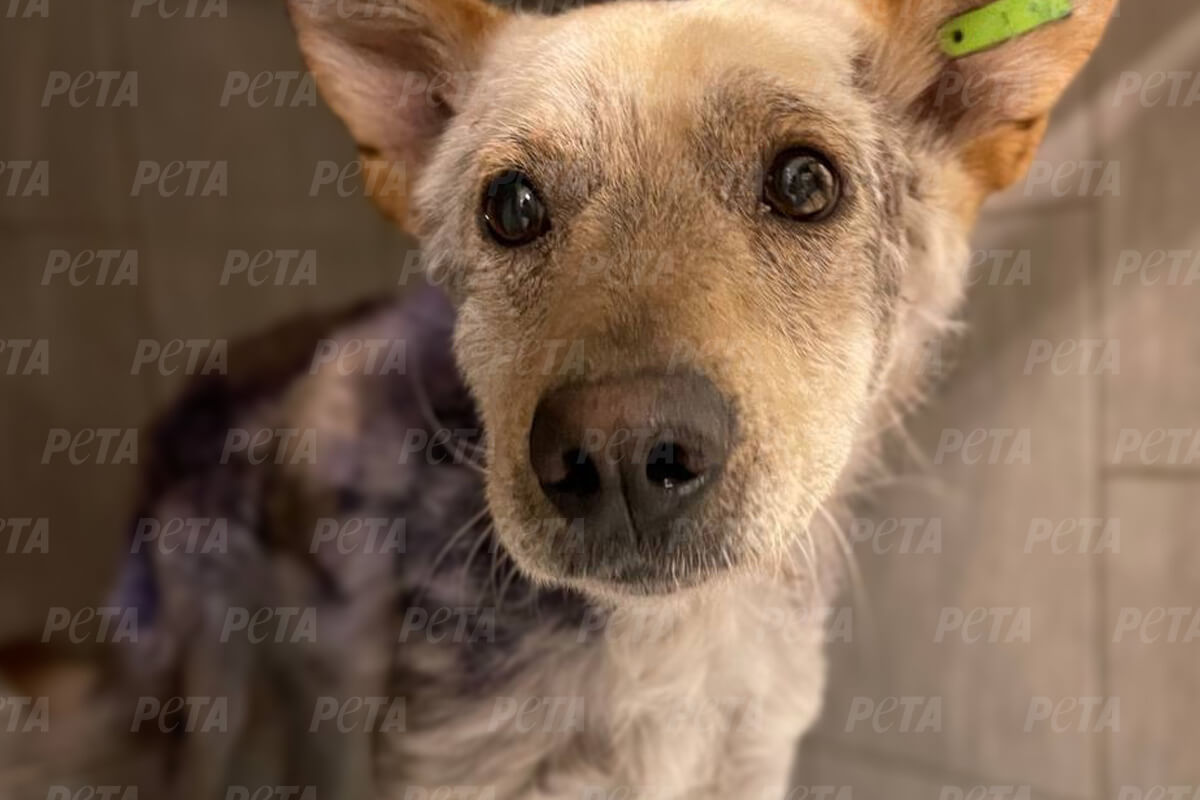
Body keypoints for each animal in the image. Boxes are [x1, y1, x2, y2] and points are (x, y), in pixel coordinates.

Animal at [0, 0, 1113, 796]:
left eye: (805, 183)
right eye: (512, 205)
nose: (619, 455)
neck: (669, 645)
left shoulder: (749, 762)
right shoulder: (448, 767)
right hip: (218, 691)